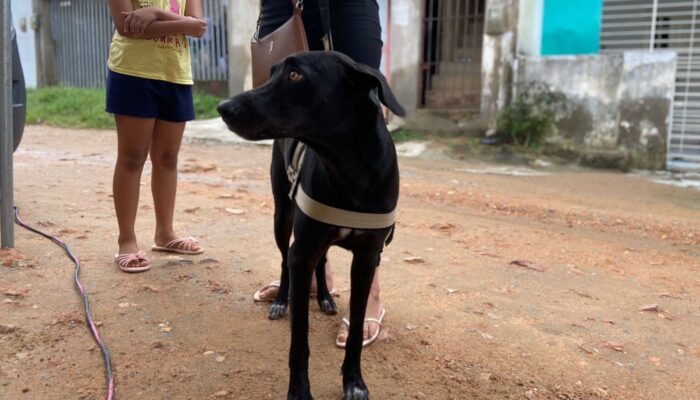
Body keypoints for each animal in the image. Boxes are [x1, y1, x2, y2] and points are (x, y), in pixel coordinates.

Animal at [217, 51, 404, 398]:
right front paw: (300, 390)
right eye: (272, 72)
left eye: (295, 75)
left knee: (323, 260)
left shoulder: (367, 258)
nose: (224, 107)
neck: (349, 171)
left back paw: (326, 298)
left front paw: (354, 381)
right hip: (283, 217)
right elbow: (298, 340)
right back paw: (281, 301)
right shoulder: (301, 253)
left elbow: (355, 331)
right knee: (283, 260)